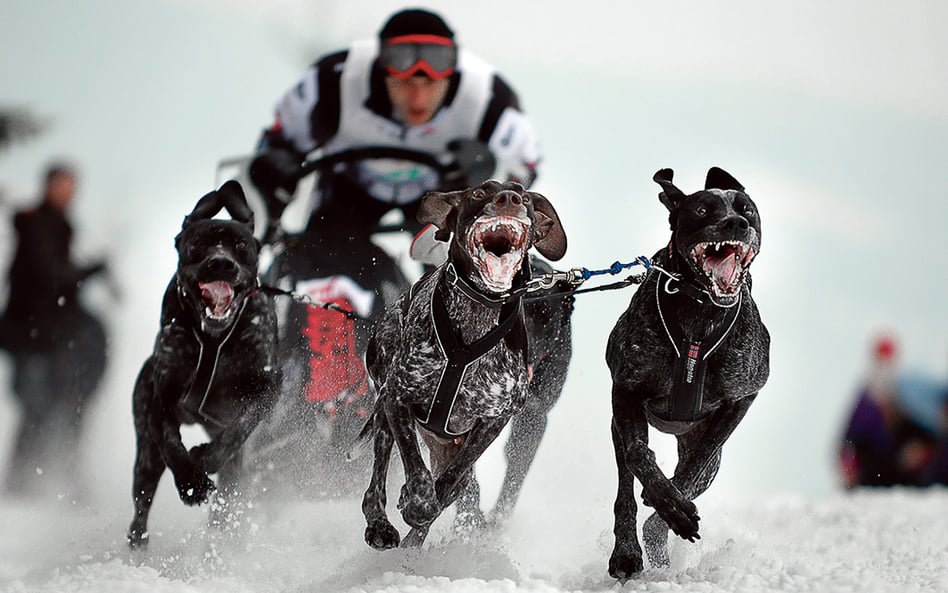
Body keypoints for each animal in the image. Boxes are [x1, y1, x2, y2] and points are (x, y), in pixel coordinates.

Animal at [128, 179, 280, 544]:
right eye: (197, 243)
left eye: (240, 245)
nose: (221, 263)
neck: (213, 340)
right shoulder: (161, 398)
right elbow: (171, 443)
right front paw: (191, 483)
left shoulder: (267, 386)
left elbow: (239, 428)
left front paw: (206, 458)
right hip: (145, 456)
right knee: (141, 504)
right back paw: (138, 541)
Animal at [356, 180, 564, 552]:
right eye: (479, 193)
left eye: (525, 197)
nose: (509, 199)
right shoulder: (398, 398)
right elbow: (416, 470)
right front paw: (417, 501)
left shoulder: (495, 419)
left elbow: (454, 480)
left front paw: (425, 507)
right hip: (383, 408)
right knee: (377, 475)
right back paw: (381, 524)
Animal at [608, 168, 772, 580]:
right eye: (700, 209)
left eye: (747, 209)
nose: (736, 223)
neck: (700, 311)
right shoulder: (625, 390)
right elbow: (639, 455)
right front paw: (665, 500)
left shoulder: (742, 397)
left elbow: (697, 462)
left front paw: (673, 504)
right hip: (618, 427)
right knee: (626, 487)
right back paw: (627, 551)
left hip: (712, 466)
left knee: (686, 483)